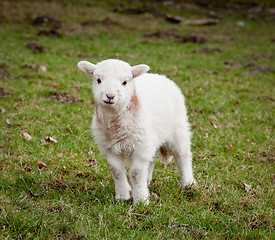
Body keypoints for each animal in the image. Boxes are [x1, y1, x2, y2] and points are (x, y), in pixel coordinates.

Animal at [76, 58, 195, 204]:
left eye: (125, 82)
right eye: (98, 80)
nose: (110, 96)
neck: (115, 124)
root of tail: (159, 76)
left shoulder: (140, 147)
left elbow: (136, 173)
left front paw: (141, 201)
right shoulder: (110, 147)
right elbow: (116, 171)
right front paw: (122, 196)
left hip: (178, 129)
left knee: (183, 156)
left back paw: (188, 183)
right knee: (151, 161)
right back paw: (147, 182)